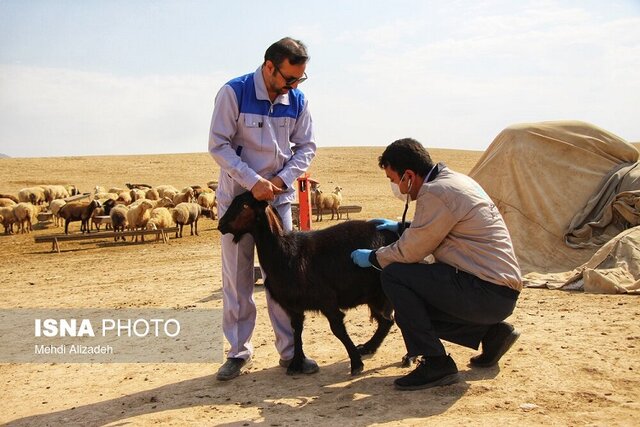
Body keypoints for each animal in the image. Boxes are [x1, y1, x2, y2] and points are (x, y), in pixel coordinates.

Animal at [220, 192, 400, 376]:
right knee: (386, 321)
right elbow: (296, 330)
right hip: (374, 295)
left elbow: (338, 329)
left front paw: (356, 363)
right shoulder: (293, 306)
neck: (284, 252)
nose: (221, 225)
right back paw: (368, 347)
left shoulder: (327, 300)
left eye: (244, 206)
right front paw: (295, 363)